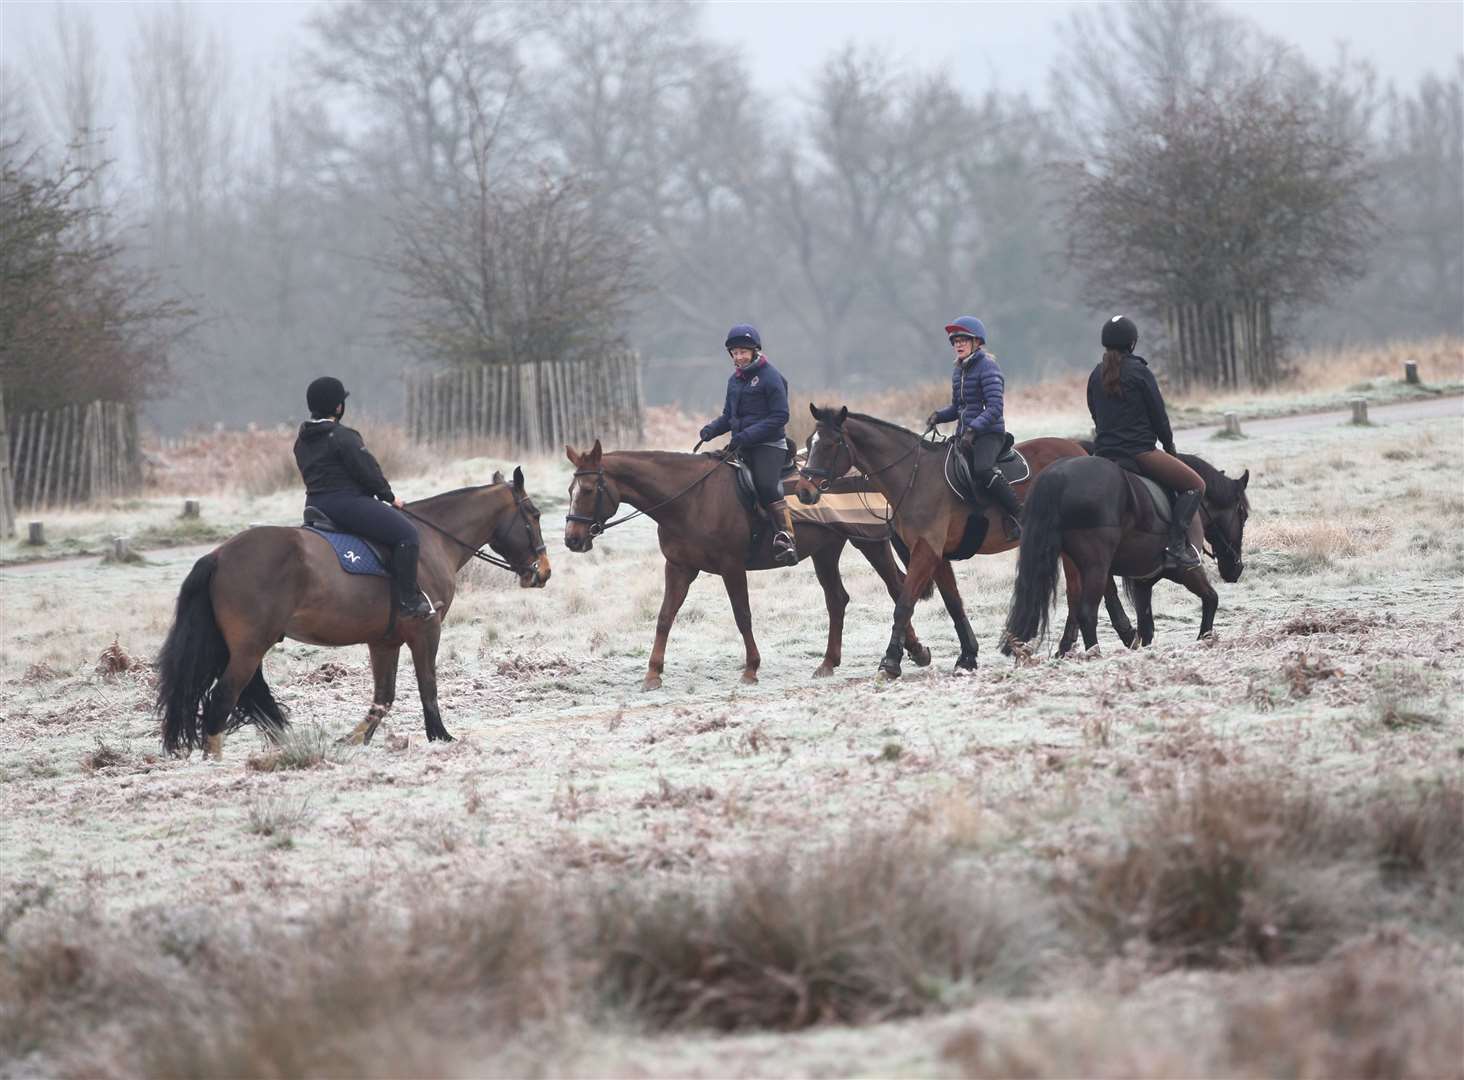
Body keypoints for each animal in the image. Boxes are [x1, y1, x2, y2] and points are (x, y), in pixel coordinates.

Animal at [155, 465, 550, 755]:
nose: (543, 572)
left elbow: (384, 697)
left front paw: (356, 739)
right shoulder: (426, 629)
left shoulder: (384, 642)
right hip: (249, 649)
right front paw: (440, 736)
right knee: (222, 699)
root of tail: (219, 555)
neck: (432, 540)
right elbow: (428, 685)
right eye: (534, 514)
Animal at [559, 439, 925, 690]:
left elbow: (742, 616)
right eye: (570, 488)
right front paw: (652, 674)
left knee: (897, 588)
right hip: (826, 551)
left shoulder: (731, 567)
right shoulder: (679, 568)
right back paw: (828, 663)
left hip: (870, 542)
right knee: (837, 599)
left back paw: (915, 651)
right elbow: (664, 618)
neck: (691, 498)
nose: (572, 539)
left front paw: (751, 669)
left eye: (588, 489)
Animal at [796, 403, 1136, 673]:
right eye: (810, 442)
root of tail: (1080, 451)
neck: (914, 476)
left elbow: (904, 603)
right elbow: (953, 604)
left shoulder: (925, 552)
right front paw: (967, 656)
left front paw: (890, 662)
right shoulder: (936, 555)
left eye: (831, 444)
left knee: (1089, 586)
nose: (804, 491)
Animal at [1001, 453, 1253, 652]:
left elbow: (1147, 626)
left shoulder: (1143, 582)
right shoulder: (1187, 572)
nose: (1236, 568)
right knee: (1086, 612)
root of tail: (1057, 476)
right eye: (1242, 514)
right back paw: (1094, 653)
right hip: (1096, 567)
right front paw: (1204, 638)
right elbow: (1211, 598)